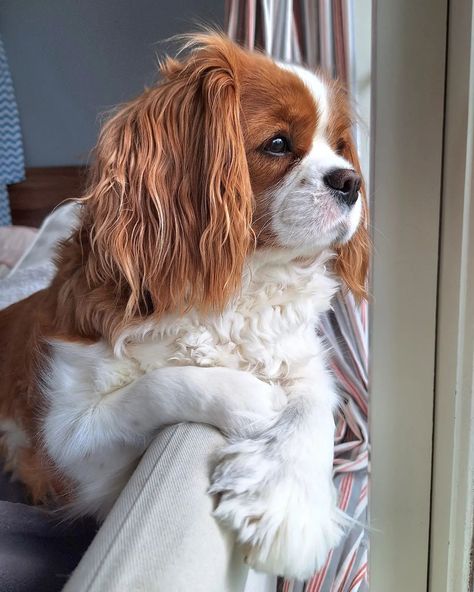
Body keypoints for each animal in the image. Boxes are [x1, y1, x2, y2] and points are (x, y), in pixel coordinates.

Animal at [0, 33, 370, 580]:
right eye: (278, 144)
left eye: (341, 147)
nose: (351, 181)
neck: (240, 284)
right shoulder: (69, 446)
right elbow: (159, 387)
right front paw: (257, 401)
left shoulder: (304, 360)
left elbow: (314, 406)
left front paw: (289, 507)